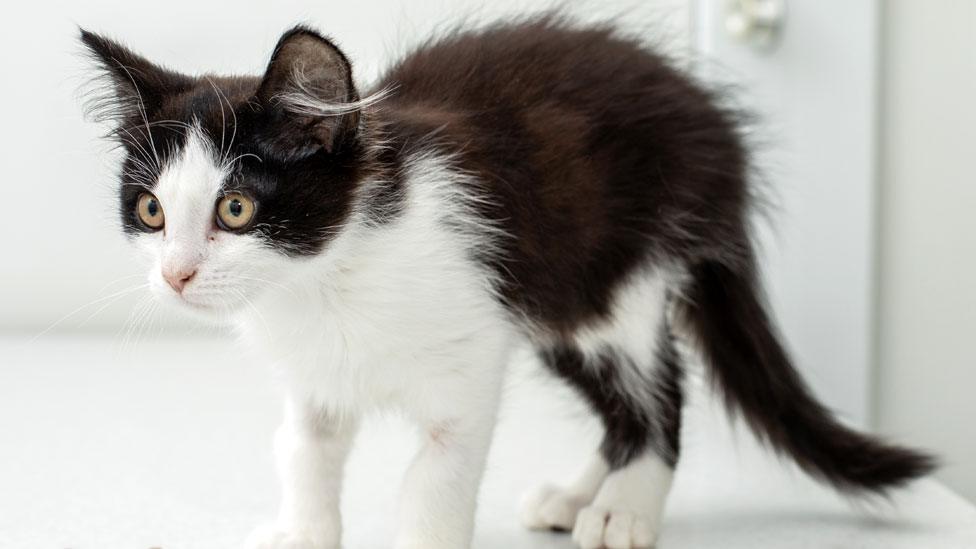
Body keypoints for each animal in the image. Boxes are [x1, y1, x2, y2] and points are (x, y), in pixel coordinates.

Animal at [80, 16, 936, 548]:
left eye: (236, 208)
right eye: (152, 210)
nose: (177, 274)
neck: (326, 276)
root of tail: (719, 131)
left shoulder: (474, 342)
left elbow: (436, 476)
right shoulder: (317, 376)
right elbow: (306, 450)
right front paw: (303, 530)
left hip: (613, 269)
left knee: (659, 391)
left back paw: (624, 506)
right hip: (559, 301)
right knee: (620, 398)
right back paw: (580, 492)